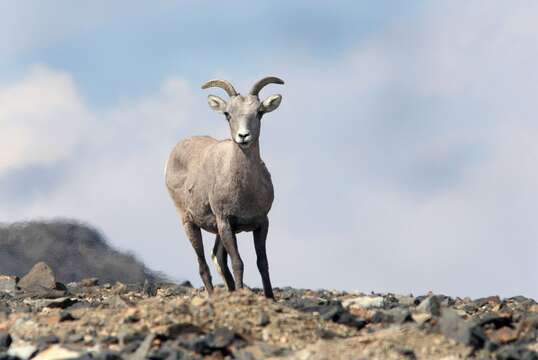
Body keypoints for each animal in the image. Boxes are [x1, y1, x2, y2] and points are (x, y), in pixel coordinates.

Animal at [163, 75, 282, 298]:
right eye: (227, 114)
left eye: (259, 112)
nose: (243, 136)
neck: (245, 191)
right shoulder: (225, 222)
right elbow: (238, 263)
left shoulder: (262, 223)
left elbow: (262, 263)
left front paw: (270, 298)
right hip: (189, 223)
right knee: (203, 265)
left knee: (217, 259)